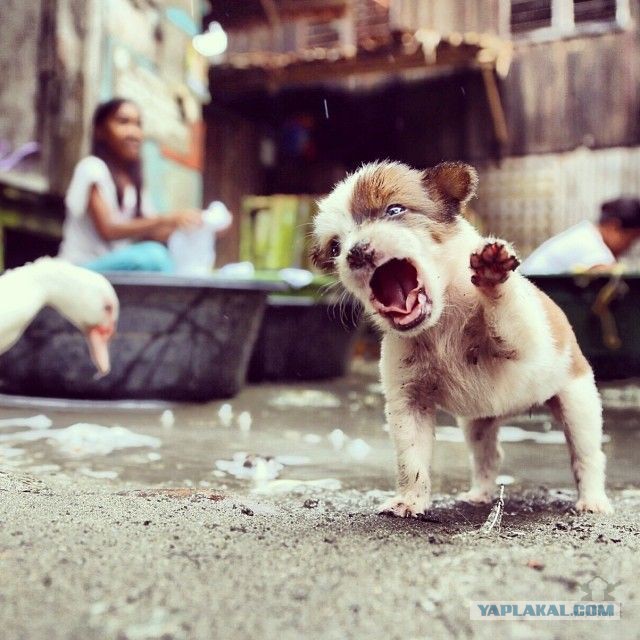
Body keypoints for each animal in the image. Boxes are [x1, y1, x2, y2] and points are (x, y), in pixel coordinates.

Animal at [312, 162, 612, 516]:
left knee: (587, 456)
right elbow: (411, 460)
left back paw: (592, 499)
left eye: (395, 210)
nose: (355, 252)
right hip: (478, 424)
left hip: (577, 404)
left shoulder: (526, 339)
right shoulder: (409, 403)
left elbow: (505, 307)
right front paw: (410, 500)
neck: (441, 321)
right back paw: (480, 494)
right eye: (336, 247)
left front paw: (493, 276)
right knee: (488, 457)